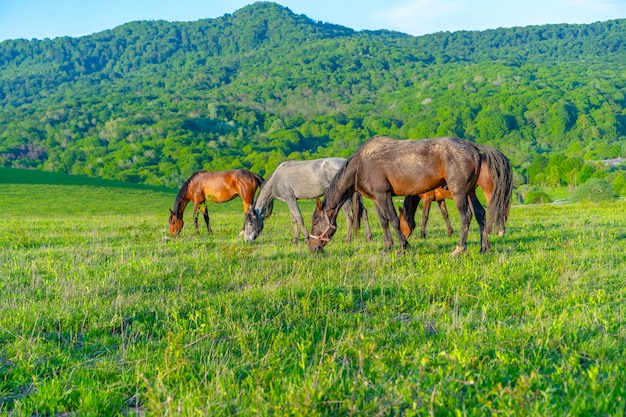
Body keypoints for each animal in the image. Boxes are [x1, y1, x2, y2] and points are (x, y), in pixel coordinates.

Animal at [308, 135, 512, 255]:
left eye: (316, 221)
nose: (312, 247)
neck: (361, 165)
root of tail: (472, 146)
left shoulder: (384, 195)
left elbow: (394, 220)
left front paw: (403, 247)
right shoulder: (376, 198)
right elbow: (384, 222)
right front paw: (387, 247)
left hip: (460, 193)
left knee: (466, 217)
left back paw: (459, 248)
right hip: (470, 192)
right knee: (480, 214)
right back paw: (484, 247)